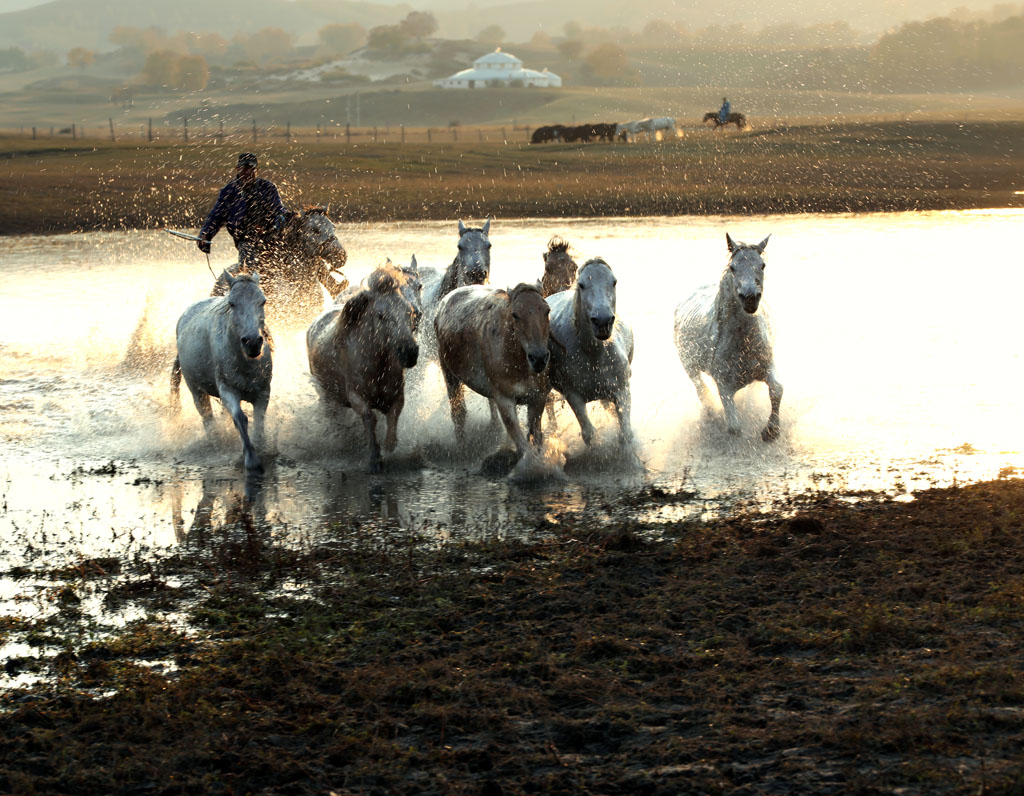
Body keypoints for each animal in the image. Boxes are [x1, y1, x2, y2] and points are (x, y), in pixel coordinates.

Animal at [548, 259, 634, 446]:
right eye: (581, 284)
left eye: (614, 282)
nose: (603, 322)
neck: (593, 355)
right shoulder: (573, 396)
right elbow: (589, 434)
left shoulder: (622, 390)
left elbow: (625, 433)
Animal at [671, 232, 782, 440]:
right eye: (733, 267)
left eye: (762, 265)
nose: (750, 298)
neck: (742, 341)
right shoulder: (724, 387)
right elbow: (734, 427)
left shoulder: (767, 367)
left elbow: (776, 390)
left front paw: (771, 430)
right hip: (689, 366)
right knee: (700, 388)